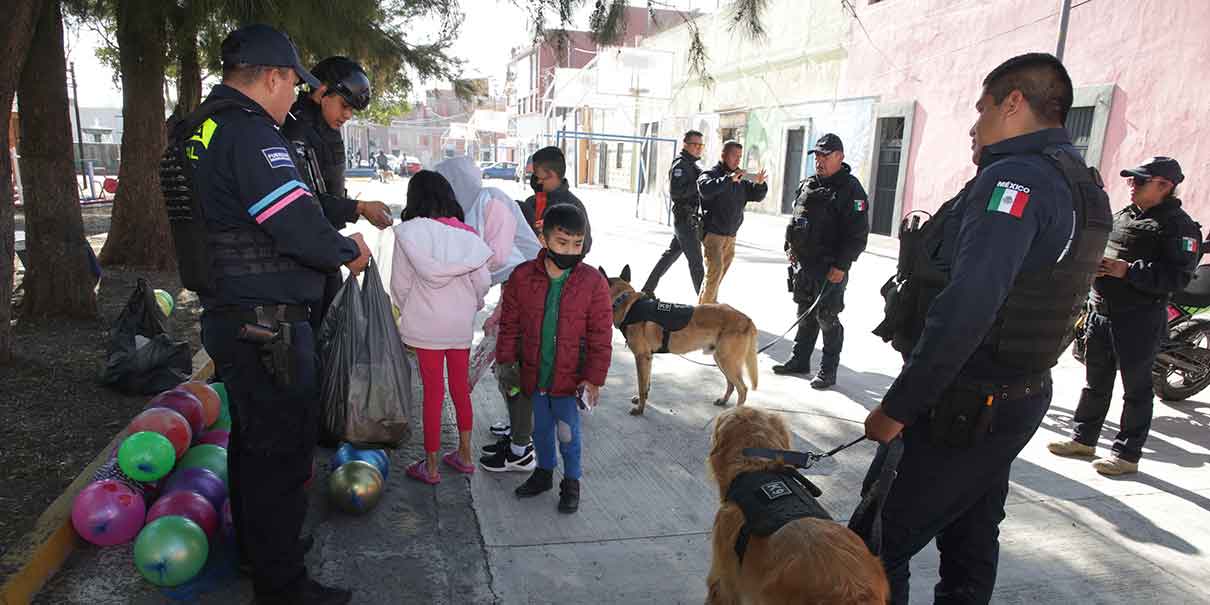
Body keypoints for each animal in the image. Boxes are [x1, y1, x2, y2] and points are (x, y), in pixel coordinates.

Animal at [602, 264, 759, 416]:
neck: (626, 303)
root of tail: (747, 319)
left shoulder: (641, 358)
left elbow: (642, 385)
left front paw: (640, 409)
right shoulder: (648, 358)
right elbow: (646, 384)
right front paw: (643, 400)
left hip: (726, 361)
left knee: (743, 389)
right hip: (722, 360)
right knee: (731, 385)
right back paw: (723, 401)